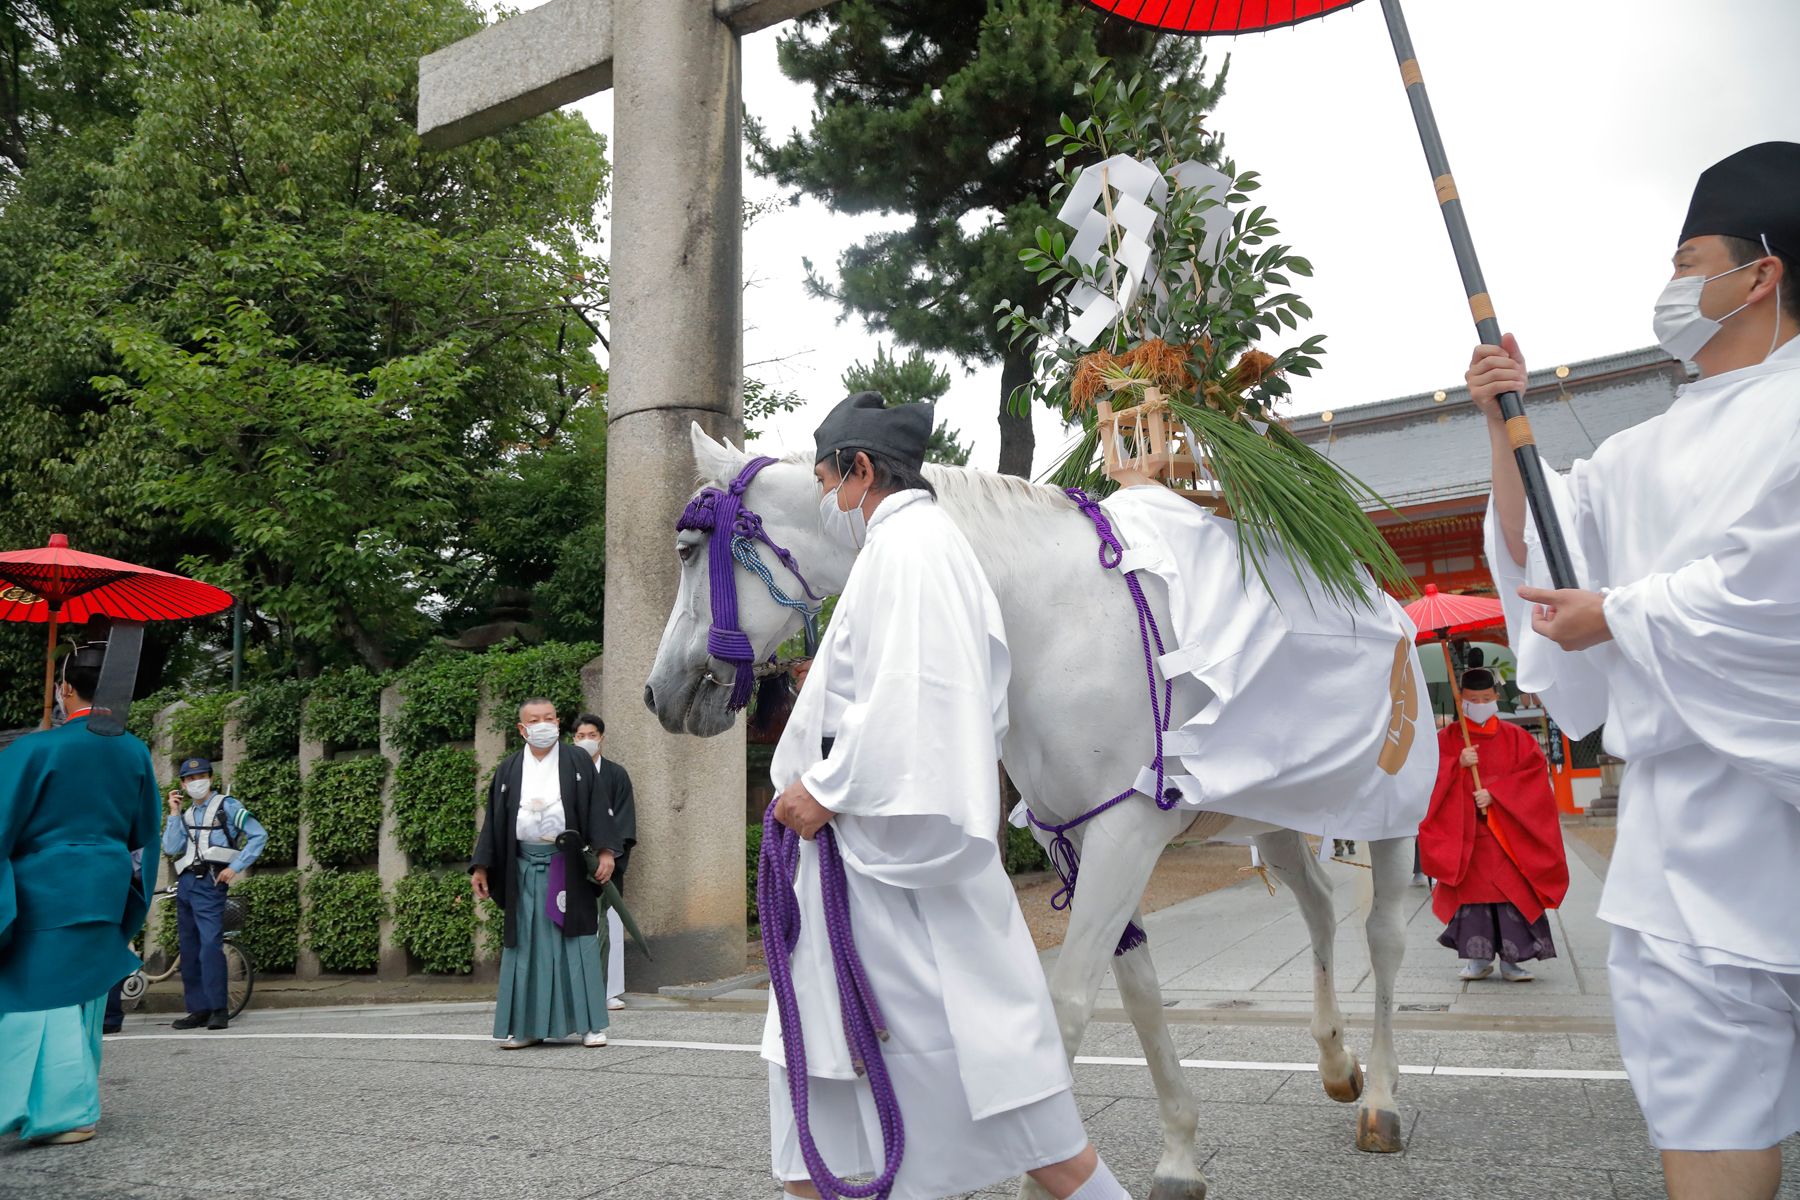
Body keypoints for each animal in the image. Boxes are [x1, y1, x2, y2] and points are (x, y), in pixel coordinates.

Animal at [648, 431, 1418, 1200]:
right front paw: (1178, 1153)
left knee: (1383, 936)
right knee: (1319, 906)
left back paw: (1381, 1100)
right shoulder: (1067, 834)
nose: (658, 692)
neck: (1053, 621)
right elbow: (1139, 994)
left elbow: (1070, 1001)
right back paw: (1337, 1065)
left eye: (686, 550)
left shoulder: (1127, 830)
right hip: (1275, 815)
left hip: (1392, 812)